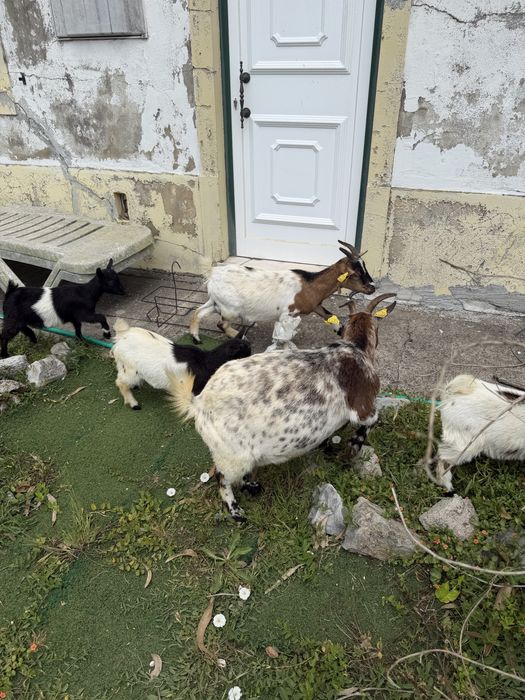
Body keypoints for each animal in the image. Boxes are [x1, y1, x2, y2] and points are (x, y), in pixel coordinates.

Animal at [111, 319, 251, 410]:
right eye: (244, 356)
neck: (205, 362)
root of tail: (122, 335)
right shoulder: (193, 387)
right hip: (130, 369)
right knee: (120, 382)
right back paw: (134, 404)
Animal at [171, 293, 396, 521]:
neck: (355, 348)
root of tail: (199, 402)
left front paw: (329, 447)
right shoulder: (364, 408)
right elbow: (368, 424)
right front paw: (351, 449)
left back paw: (252, 486)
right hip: (232, 454)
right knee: (222, 478)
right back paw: (236, 512)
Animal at [189, 241, 375, 346]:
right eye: (356, 274)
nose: (372, 288)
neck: (311, 285)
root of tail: (213, 272)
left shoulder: (316, 305)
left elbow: (332, 317)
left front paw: (342, 333)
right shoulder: (288, 314)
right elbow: (285, 334)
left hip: (215, 302)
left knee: (198, 312)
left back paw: (196, 338)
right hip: (230, 308)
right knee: (221, 324)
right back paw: (239, 337)